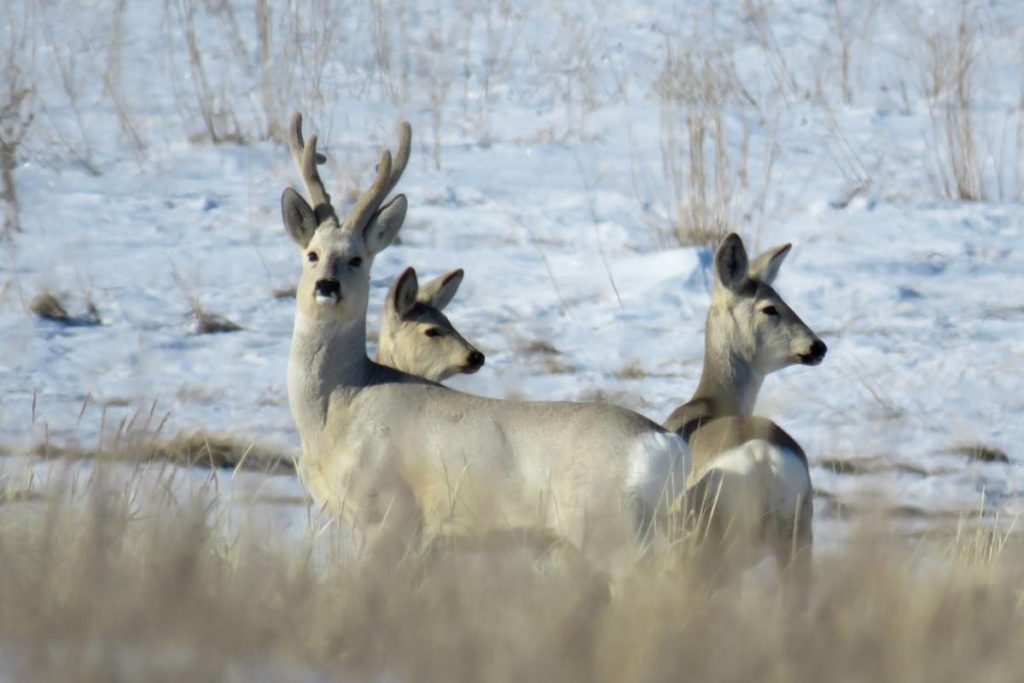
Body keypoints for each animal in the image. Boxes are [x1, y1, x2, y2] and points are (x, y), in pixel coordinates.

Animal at [280, 113, 688, 565]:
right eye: (312, 254)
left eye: (356, 259)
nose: (326, 286)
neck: (340, 404)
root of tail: (664, 443)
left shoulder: (388, 513)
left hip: (609, 528)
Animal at [667, 233, 827, 602]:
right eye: (771, 307)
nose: (818, 347)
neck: (709, 404)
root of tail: (763, 460)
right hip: (798, 538)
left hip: (708, 546)